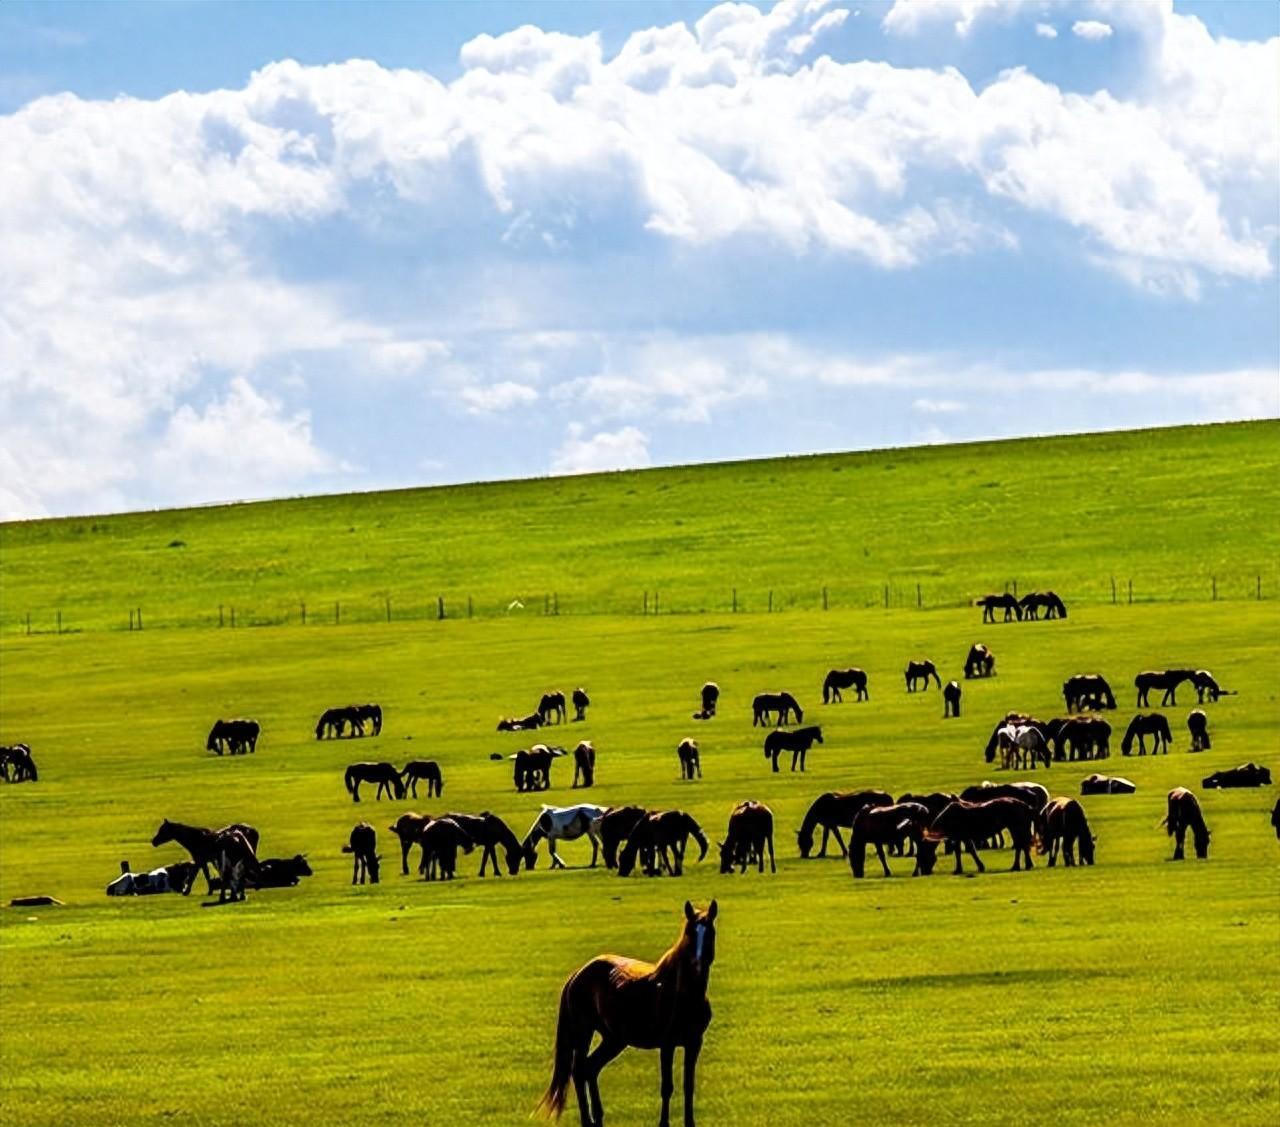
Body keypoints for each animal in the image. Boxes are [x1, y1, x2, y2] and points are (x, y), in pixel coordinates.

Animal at [532, 896, 721, 1127]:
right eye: (690, 933)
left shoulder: (694, 1043)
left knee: (590, 1068)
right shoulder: (667, 1044)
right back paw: (587, 1120)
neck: (682, 994)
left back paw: (598, 1117)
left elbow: (688, 1086)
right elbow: (667, 1087)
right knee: (578, 1071)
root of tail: (579, 973)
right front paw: (663, 1124)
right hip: (584, 1031)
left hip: (613, 1039)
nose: (698, 967)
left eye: (710, 933)